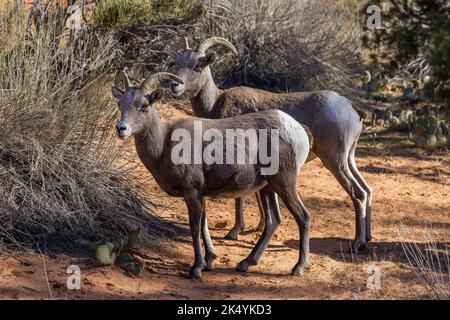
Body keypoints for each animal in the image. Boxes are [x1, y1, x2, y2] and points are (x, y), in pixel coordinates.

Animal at [111, 71, 312, 278]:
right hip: (267, 187)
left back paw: (298, 268)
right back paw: (246, 263)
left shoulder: (192, 193)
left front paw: (196, 268)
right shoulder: (201, 194)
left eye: (143, 106)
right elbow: (203, 226)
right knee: (273, 222)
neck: (165, 144)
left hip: (284, 183)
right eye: (120, 103)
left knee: (303, 217)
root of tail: (298, 130)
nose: (121, 128)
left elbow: (194, 228)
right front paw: (209, 261)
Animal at [170, 37, 372, 252]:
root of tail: (352, 109)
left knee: (358, 194)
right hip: (348, 159)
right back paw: (367, 238)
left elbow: (239, 197)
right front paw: (258, 226)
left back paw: (357, 244)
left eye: (198, 65)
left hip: (333, 160)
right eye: (178, 63)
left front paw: (234, 231)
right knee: (367, 190)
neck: (216, 103)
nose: (175, 85)